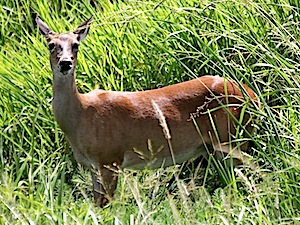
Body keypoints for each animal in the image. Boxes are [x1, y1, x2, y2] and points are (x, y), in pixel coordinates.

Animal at [35, 16, 260, 207]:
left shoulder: (110, 158)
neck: (81, 117)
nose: (65, 63)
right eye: (51, 44)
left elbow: (107, 205)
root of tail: (252, 95)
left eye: (76, 44)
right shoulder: (93, 166)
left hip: (232, 138)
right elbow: (97, 204)